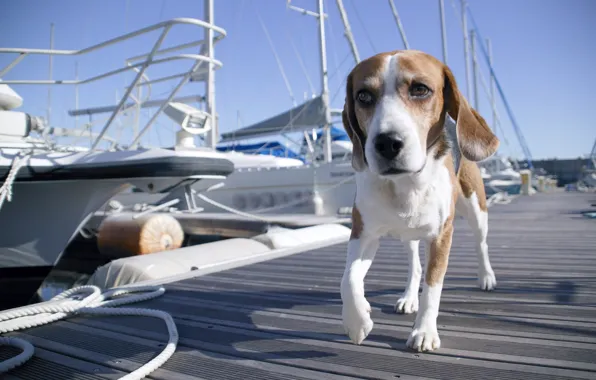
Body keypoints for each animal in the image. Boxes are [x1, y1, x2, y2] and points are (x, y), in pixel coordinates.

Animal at [340, 49, 498, 352]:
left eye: (420, 89)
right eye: (363, 95)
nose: (387, 143)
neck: (405, 184)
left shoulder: (441, 236)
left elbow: (433, 286)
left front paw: (424, 331)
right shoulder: (363, 233)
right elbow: (348, 279)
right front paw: (357, 321)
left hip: (477, 210)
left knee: (482, 244)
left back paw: (486, 277)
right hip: (408, 235)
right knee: (414, 266)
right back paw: (409, 297)